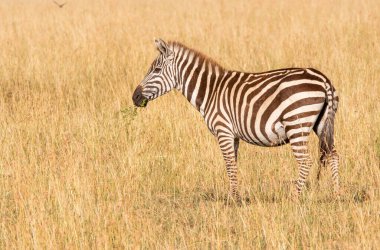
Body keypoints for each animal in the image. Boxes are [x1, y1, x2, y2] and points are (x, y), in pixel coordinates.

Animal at [132, 38, 340, 201]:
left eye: (157, 70)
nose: (135, 97)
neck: (211, 91)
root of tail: (323, 79)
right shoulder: (233, 135)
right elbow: (233, 163)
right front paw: (234, 195)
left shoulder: (223, 129)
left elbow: (229, 164)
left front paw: (232, 200)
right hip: (322, 124)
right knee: (333, 155)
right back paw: (336, 195)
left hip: (297, 124)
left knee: (305, 161)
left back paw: (295, 198)